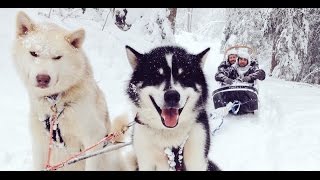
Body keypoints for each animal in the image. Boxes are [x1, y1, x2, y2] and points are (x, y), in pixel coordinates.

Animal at [12, 11, 125, 170]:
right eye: (33, 53)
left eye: (57, 57)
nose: (42, 78)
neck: (56, 104)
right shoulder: (39, 143)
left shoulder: (93, 138)